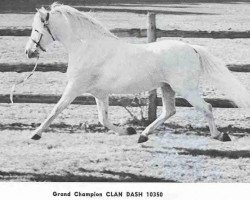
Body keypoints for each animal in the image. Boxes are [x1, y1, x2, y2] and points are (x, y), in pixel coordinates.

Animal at [25, 3, 250, 144]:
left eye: (36, 30)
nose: (28, 52)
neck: (88, 47)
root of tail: (192, 48)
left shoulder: (74, 88)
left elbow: (56, 109)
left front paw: (35, 134)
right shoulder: (100, 93)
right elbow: (103, 119)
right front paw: (128, 131)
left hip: (187, 89)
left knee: (207, 107)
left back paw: (219, 136)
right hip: (167, 88)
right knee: (169, 111)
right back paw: (143, 135)